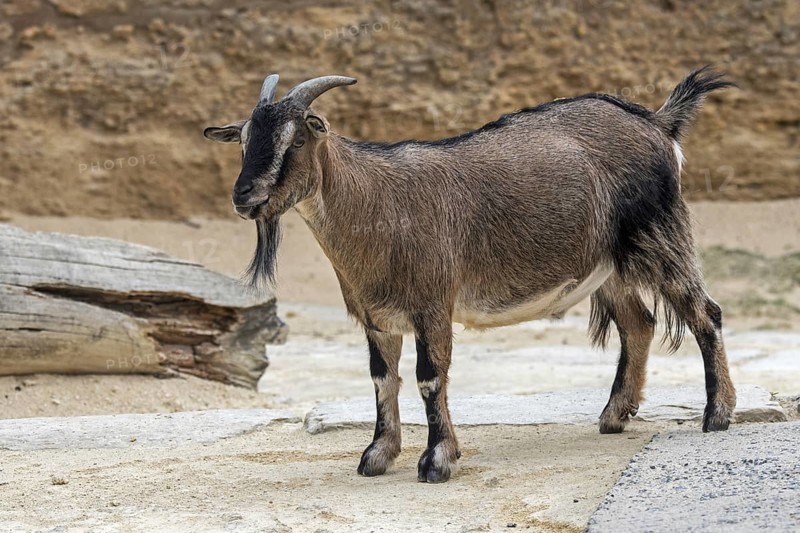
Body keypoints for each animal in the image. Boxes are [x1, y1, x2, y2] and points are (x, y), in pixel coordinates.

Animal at [204, 67, 736, 483]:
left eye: (296, 139)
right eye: (245, 141)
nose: (244, 196)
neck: (374, 203)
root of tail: (659, 122)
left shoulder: (432, 307)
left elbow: (428, 378)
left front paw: (437, 460)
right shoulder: (377, 318)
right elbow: (382, 379)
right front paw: (378, 455)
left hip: (659, 234)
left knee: (704, 313)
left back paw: (717, 415)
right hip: (610, 268)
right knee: (639, 324)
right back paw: (613, 416)